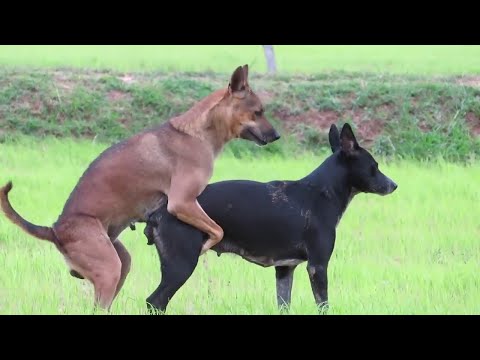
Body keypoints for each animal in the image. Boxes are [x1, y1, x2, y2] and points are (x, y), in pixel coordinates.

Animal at [0, 64, 280, 310]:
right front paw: (207, 245)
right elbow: (218, 230)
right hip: (108, 267)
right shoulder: (182, 202)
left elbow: (217, 229)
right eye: (258, 112)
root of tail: (55, 231)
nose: (276, 136)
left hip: (120, 260)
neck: (199, 131)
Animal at [142, 122, 398, 314]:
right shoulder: (317, 266)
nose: (394, 185)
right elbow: (323, 304)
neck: (321, 192)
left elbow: (284, 304)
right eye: (374, 166)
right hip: (181, 265)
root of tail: (159, 212)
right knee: (155, 301)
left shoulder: (284, 270)